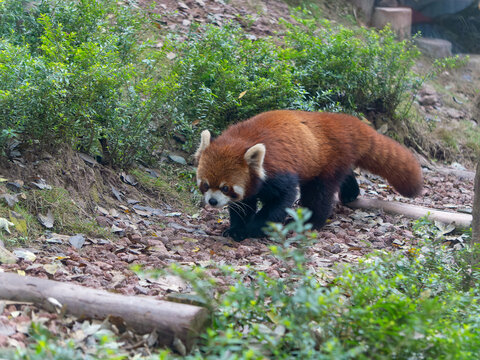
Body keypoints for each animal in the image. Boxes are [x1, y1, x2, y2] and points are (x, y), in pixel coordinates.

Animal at [195, 109, 424, 242]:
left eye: (225, 187)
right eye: (205, 185)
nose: (212, 201)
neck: (241, 140)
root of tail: (338, 120)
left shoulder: (278, 171)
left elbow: (281, 200)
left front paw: (255, 228)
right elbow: (243, 205)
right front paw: (236, 229)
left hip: (326, 162)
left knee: (319, 194)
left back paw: (311, 222)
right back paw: (350, 192)